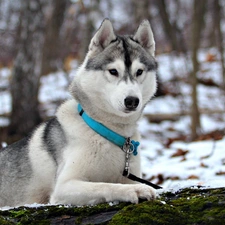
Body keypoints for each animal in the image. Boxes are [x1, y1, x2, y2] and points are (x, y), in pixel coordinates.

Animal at [0, 18, 157, 207]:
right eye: (113, 71)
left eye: (139, 72)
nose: (132, 100)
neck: (109, 132)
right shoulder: (64, 186)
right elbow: (104, 185)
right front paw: (135, 190)